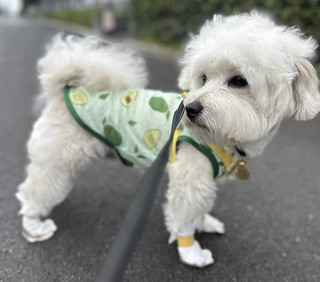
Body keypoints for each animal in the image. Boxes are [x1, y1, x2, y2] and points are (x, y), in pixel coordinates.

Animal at [17, 12, 320, 268]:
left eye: (238, 81)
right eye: (204, 78)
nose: (191, 108)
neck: (226, 140)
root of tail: (66, 90)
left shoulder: (205, 179)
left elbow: (200, 208)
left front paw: (204, 222)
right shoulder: (190, 178)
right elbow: (184, 215)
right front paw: (191, 252)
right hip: (59, 157)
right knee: (38, 187)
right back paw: (34, 224)